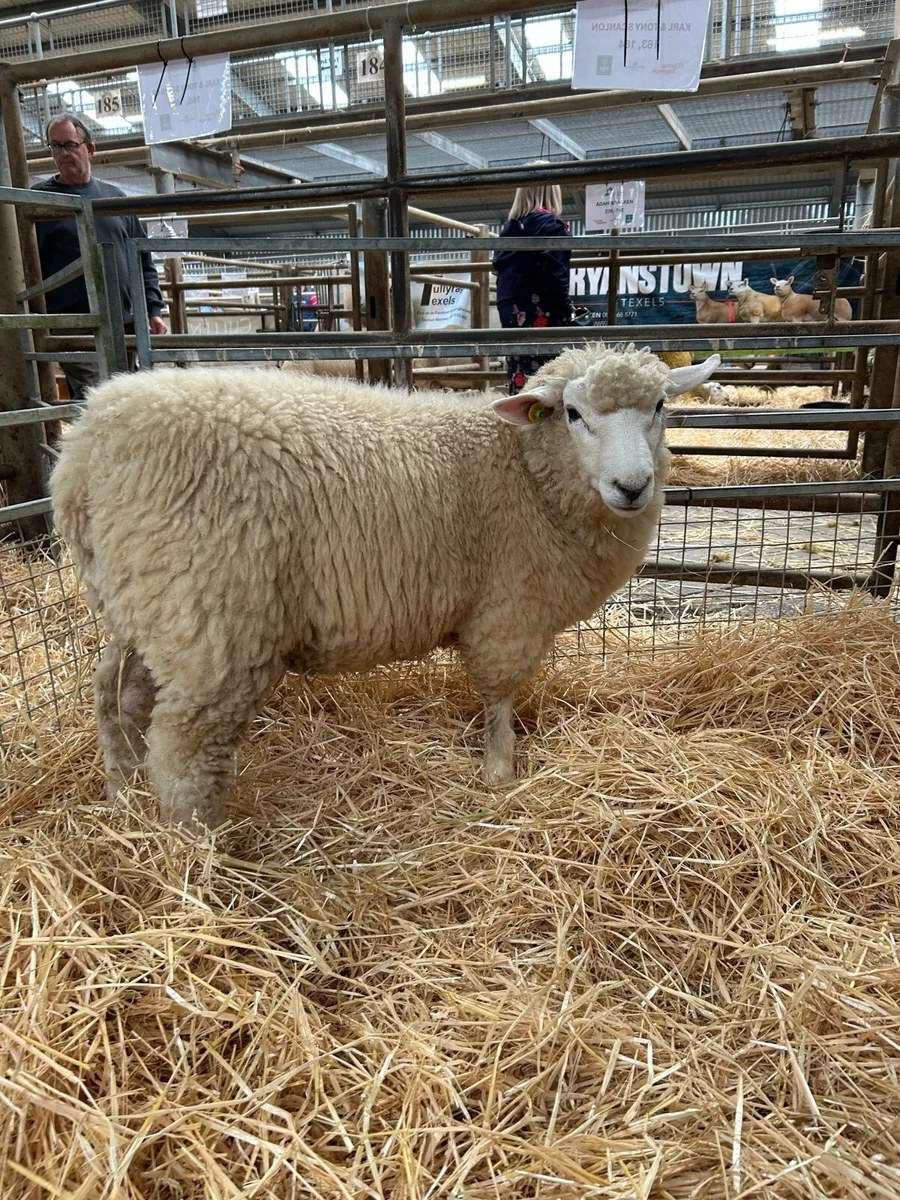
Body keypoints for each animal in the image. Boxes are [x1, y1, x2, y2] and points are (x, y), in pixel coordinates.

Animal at [51, 345, 720, 828]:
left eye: (660, 407)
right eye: (574, 415)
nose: (632, 486)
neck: (526, 469)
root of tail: (83, 448)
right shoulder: (508, 609)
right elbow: (499, 695)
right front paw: (499, 771)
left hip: (145, 600)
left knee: (115, 695)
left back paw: (121, 795)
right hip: (210, 615)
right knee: (185, 743)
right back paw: (200, 855)